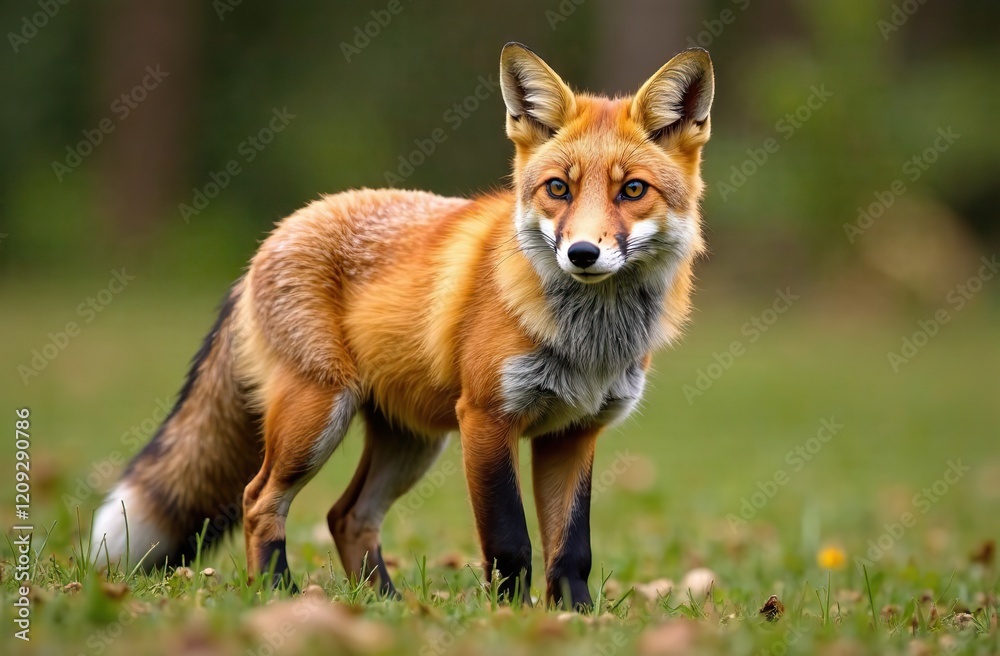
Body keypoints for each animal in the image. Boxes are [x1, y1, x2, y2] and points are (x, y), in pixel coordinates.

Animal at [92, 42, 714, 609]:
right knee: (259, 498)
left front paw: (577, 619)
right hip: (318, 415)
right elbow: (509, 542)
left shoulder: (573, 433)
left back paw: (385, 603)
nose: (582, 253)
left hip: (410, 442)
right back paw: (279, 593)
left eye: (632, 190)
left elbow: (572, 549)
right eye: (558, 188)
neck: (589, 340)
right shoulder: (487, 418)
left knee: (347, 515)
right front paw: (510, 619)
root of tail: (277, 232)